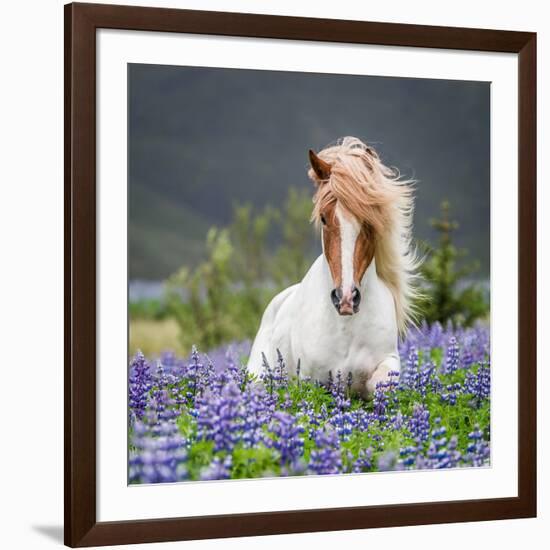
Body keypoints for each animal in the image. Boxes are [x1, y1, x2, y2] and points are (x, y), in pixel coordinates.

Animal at [248, 136, 420, 398]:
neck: (345, 327)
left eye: (369, 220)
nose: (346, 298)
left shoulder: (387, 361)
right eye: (323, 217)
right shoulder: (312, 380)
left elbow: (381, 384)